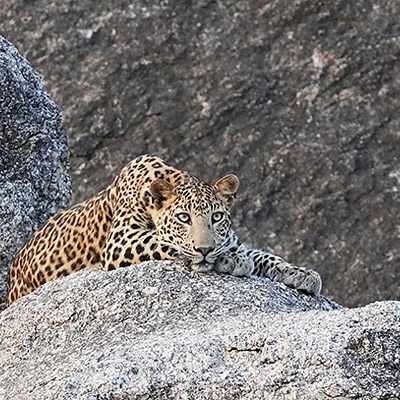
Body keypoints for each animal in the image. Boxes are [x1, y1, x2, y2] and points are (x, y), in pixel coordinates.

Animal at [5, 155, 322, 304]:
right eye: (183, 217)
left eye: (217, 216)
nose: (205, 249)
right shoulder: (122, 240)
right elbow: (166, 244)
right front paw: (228, 260)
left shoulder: (229, 238)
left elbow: (263, 255)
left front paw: (302, 273)